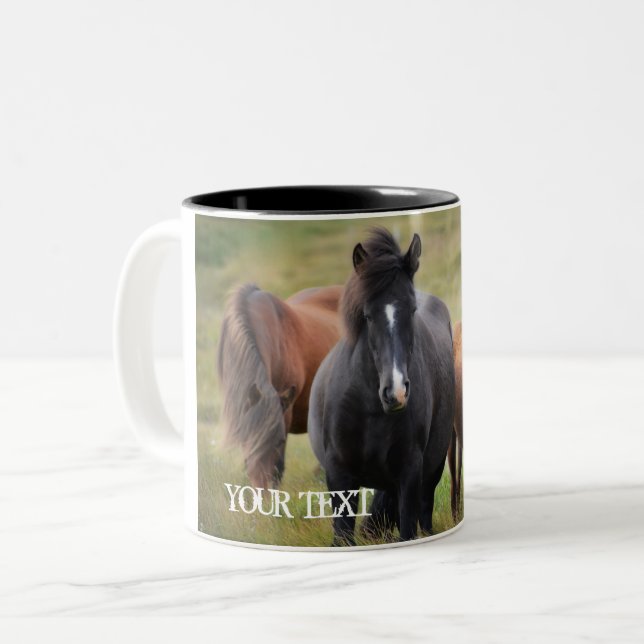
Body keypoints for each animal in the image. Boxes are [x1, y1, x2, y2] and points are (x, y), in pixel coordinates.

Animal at [308, 228, 455, 545]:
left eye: (412, 310)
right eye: (367, 315)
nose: (395, 391)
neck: (369, 408)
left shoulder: (410, 474)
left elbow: (408, 528)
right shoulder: (339, 476)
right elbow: (343, 536)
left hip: (432, 471)